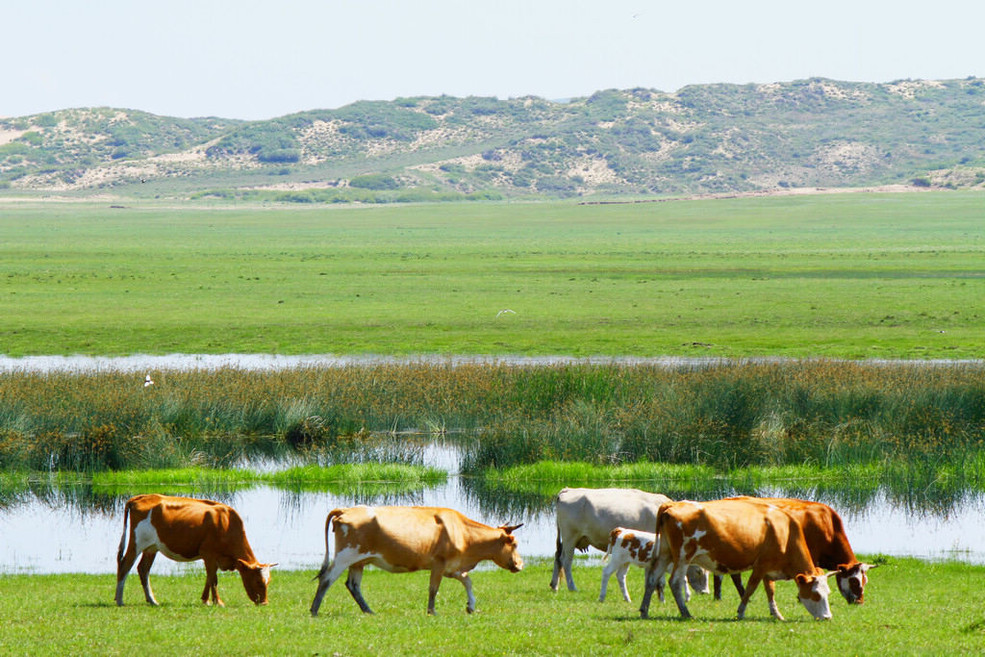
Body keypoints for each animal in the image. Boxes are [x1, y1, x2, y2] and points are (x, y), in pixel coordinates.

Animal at [117, 492, 274, 604]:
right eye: (259, 581)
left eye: (268, 581)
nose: (264, 603)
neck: (226, 522)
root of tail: (141, 497)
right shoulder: (209, 554)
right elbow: (213, 578)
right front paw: (216, 602)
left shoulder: (213, 558)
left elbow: (210, 577)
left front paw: (206, 599)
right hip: (137, 543)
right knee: (125, 565)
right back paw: (120, 600)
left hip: (151, 548)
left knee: (143, 569)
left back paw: (152, 601)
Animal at [308, 502, 524, 616]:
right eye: (514, 543)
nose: (521, 564)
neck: (464, 533)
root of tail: (345, 509)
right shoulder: (439, 563)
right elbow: (433, 588)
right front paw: (432, 611)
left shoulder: (453, 566)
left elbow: (467, 581)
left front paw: (470, 606)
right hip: (345, 555)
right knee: (327, 578)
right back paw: (314, 610)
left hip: (358, 561)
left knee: (353, 585)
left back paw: (369, 611)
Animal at [548, 484, 704, 596]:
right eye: (699, 571)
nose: (704, 592)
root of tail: (568, 490)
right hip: (570, 537)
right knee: (566, 560)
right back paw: (572, 587)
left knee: (557, 556)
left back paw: (554, 585)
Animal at [640, 498, 832, 620]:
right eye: (816, 594)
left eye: (828, 593)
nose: (828, 617)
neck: (785, 531)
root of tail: (672, 504)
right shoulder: (760, 566)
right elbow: (750, 589)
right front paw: (740, 612)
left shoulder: (769, 568)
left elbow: (770, 591)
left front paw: (777, 614)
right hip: (682, 556)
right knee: (675, 582)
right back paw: (685, 613)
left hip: (665, 554)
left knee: (652, 578)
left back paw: (644, 610)